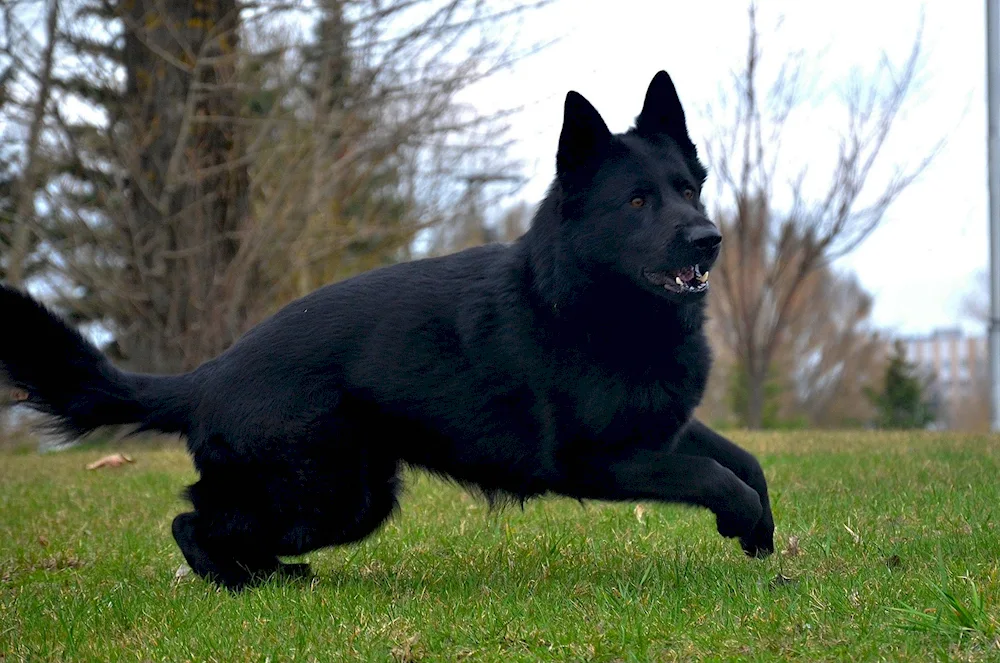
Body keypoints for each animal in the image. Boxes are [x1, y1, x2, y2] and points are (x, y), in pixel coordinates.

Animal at [0, 72, 776, 592]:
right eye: (638, 202)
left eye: (687, 189)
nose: (708, 239)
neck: (591, 305)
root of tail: (209, 374)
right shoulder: (602, 460)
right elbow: (711, 475)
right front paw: (743, 522)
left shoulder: (665, 429)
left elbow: (745, 462)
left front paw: (763, 531)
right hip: (332, 498)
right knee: (191, 522)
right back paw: (245, 582)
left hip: (352, 498)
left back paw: (276, 576)